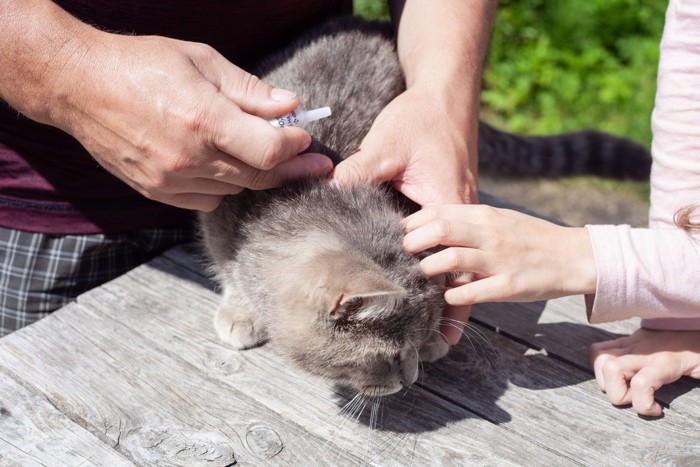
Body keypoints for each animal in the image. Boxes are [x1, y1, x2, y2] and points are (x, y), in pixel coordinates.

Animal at [200, 18, 652, 398]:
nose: (412, 379)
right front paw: (241, 307)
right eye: (390, 356)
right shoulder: (218, 211)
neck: (300, 200)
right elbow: (227, 265)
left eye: (415, 345)